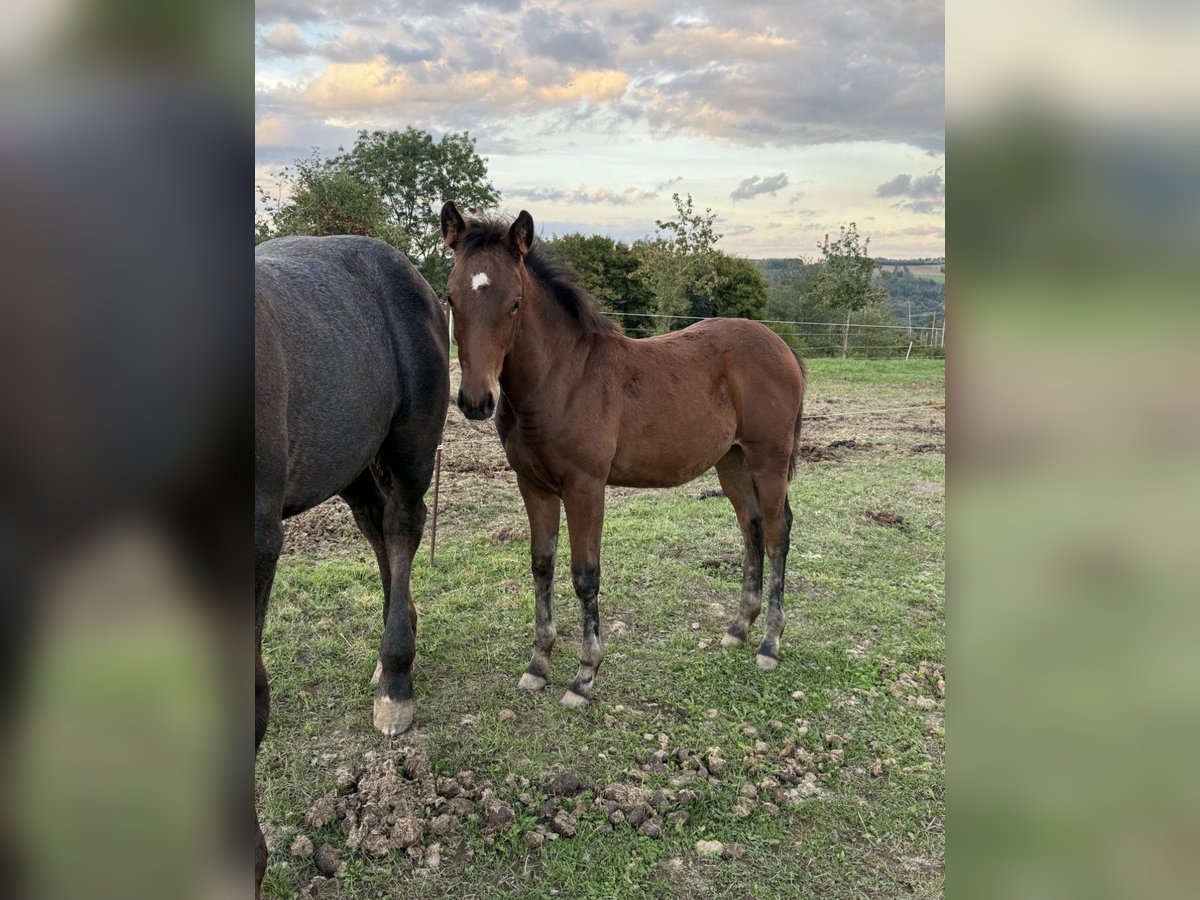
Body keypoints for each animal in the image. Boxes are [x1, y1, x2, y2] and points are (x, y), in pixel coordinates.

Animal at [439, 201, 807, 710]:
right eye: (452, 299)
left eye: (514, 302)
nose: (476, 401)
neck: (563, 380)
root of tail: (782, 347)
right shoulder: (533, 485)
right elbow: (542, 565)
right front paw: (538, 665)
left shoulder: (585, 487)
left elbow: (585, 574)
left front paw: (584, 676)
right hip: (730, 461)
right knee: (750, 527)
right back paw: (738, 628)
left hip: (768, 458)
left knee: (775, 532)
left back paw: (770, 643)